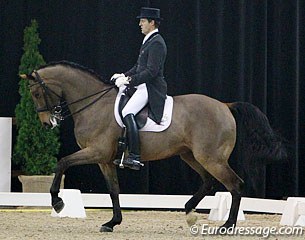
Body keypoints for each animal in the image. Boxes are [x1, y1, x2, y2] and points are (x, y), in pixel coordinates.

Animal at [21, 60, 284, 232]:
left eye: (36, 94)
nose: (47, 123)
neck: (94, 104)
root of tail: (225, 105)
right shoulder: (104, 159)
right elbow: (113, 190)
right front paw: (112, 222)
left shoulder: (96, 152)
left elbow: (62, 162)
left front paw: (57, 202)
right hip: (191, 156)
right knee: (209, 181)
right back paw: (189, 210)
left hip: (211, 158)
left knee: (235, 184)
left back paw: (227, 226)